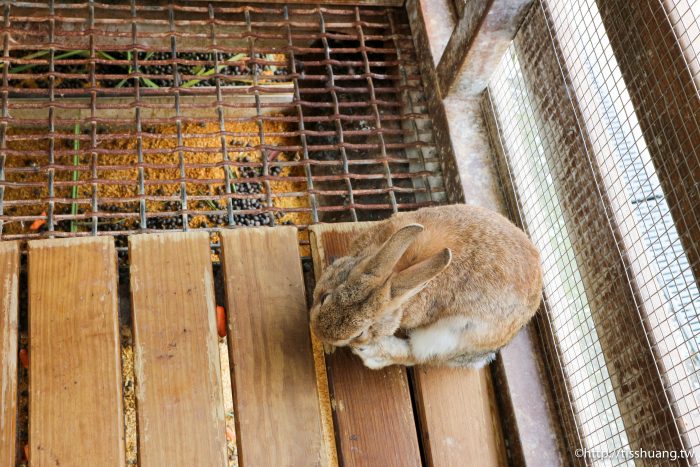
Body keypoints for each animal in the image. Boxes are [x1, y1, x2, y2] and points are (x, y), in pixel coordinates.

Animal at [308, 205, 544, 370]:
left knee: (418, 355)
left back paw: (374, 354)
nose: (320, 334)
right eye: (325, 297)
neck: (395, 273)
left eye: (360, 333)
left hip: (455, 335)